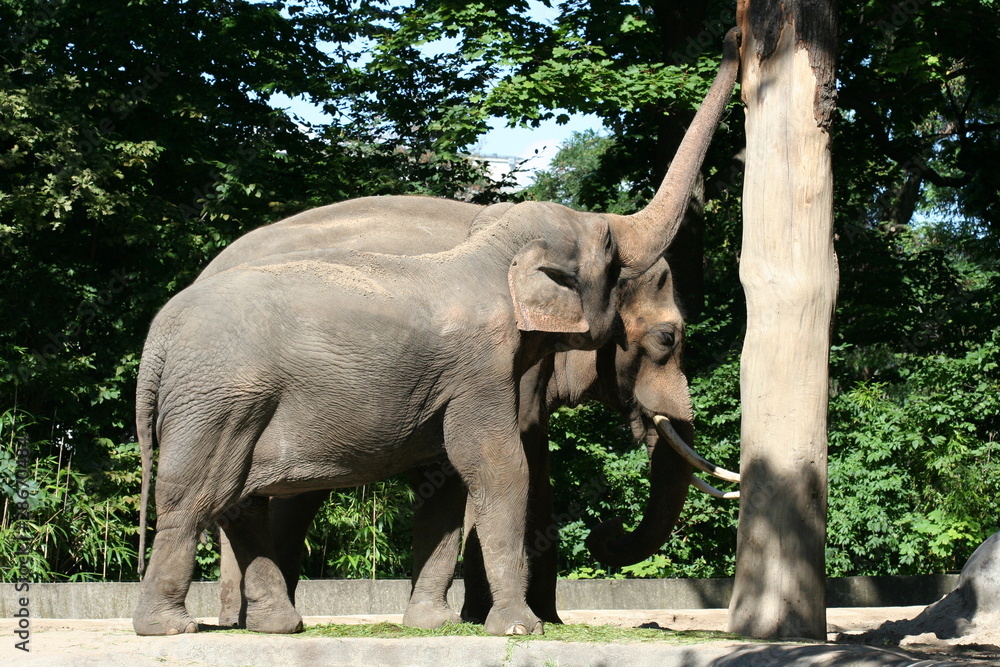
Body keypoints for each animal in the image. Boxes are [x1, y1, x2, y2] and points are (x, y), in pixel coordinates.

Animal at [132, 27, 741, 638]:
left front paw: (434, 623)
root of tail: (159, 333)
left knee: (241, 499)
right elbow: (503, 466)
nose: (735, 35)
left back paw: (275, 624)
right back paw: (172, 626)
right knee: (198, 497)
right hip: (220, 401)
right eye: (666, 340)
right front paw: (519, 626)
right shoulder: (483, 370)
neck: (490, 252)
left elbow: (448, 481)